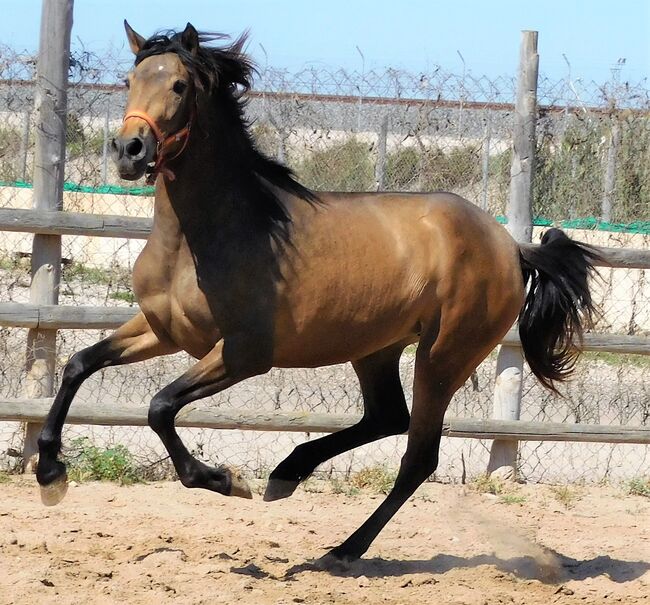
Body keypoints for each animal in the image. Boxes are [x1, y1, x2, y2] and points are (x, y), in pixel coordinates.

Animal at [33, 22, 596, 560]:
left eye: (178, 85)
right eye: (128, 81)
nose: (129, 151)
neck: (206, 238)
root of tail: (511, 247)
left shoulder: (244, 354)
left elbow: (159, 406)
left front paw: (224, 480)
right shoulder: (163, 331)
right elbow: (78, 365)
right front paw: (49, 474)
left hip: (443, 356)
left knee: (418, 456)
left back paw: (343, 548)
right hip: (376, 348)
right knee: (386, 417)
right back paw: (289, 472)